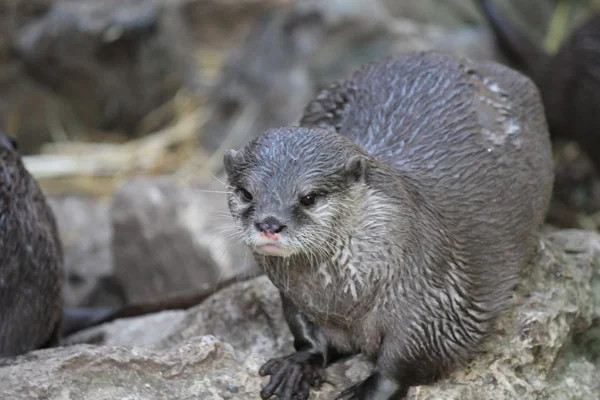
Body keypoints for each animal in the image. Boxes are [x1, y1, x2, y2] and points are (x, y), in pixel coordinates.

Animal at [224, 51, 552, 398]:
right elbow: (307, 334)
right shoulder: (295, 298)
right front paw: (298, 365)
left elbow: (407, 360)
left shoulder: (437, 300)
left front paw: (365, 391)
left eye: (309, 197)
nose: (270, 223)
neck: (344, 301)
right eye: (246, 193)